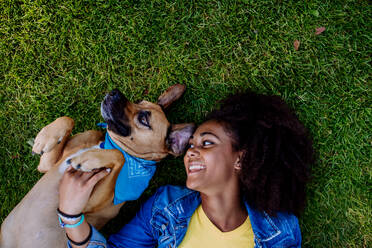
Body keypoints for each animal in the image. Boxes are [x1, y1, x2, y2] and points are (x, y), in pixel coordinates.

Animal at [0, 84, 195, 247]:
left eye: (144, 120)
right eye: (139, 101)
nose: (115, 92)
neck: (107, 144)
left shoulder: (87, 206)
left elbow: (118, 156)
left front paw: (88, 159)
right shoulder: (46, 165)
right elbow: (68, 119)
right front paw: (45, 137)